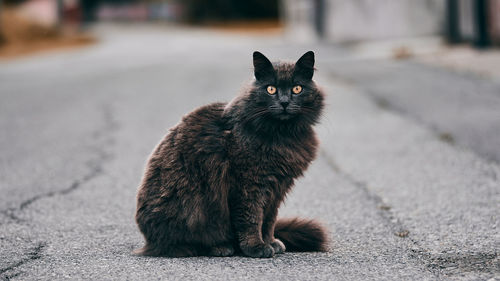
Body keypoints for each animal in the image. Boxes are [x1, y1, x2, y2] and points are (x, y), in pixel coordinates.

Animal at [135, 50, 328, 256]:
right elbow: (252, 218)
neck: (282, 134)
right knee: (183, 244)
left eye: (297, 89)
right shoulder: (249, 183)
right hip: (192, 209)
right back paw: (221, 247)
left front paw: (271, 242)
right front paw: (256, 247)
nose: (284, 102)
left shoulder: (277, 188)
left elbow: (269, 220)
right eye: (271, 89)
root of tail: (148, 240)